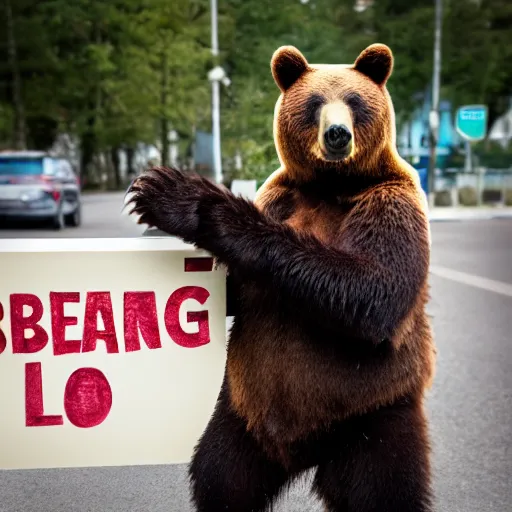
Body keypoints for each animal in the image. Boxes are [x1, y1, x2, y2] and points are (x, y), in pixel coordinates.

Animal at [127, 43, 436, 512]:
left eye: (355, 101)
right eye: (314, 104)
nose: (337, 135)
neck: (330, 187)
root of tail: (301, 451)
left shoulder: (393, 203)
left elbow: (371, 287)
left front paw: (178, 194)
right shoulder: (281, 197)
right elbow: (236, 291)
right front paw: (156, 200)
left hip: (375, 417)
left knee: (381, 490)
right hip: (240, 417)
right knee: (221, 480)